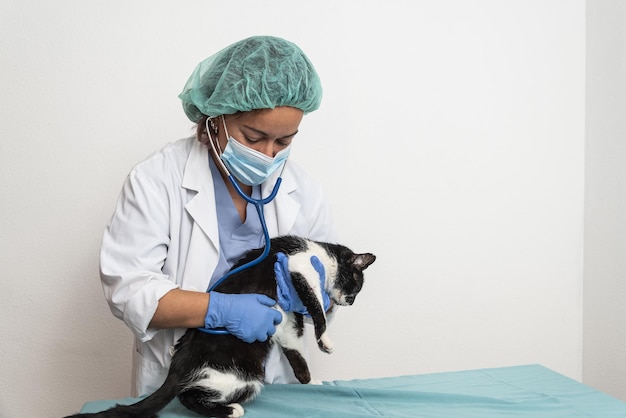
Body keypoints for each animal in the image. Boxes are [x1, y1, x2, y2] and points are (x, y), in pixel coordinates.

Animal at [64, 237, 376, 416]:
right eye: (356, 285)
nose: (349, 302)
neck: (321, 252)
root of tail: (178, 366)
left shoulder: (287, 320)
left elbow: (296, 350)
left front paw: (310, 382)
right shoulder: (299, 267)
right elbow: (318, 310)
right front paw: (325, 340)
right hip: (243, 378)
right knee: (187, 395)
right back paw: (231, 410)